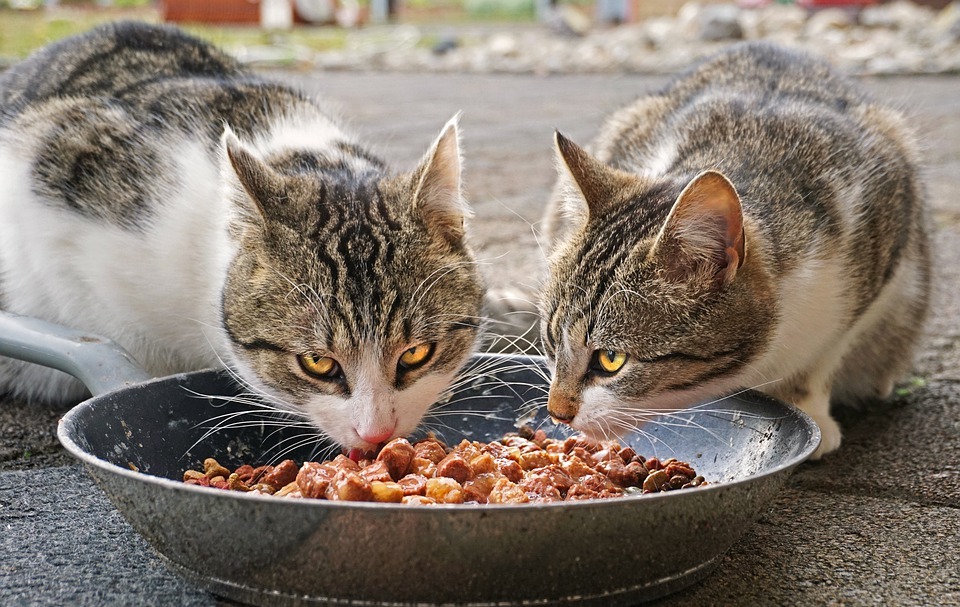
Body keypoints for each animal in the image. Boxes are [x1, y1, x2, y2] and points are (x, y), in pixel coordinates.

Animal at [536, 42, 928, 458]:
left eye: (611, 360)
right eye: (551, 340)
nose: (557, 412)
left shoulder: (884, 226)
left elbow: (823, 355)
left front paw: (809, 409)